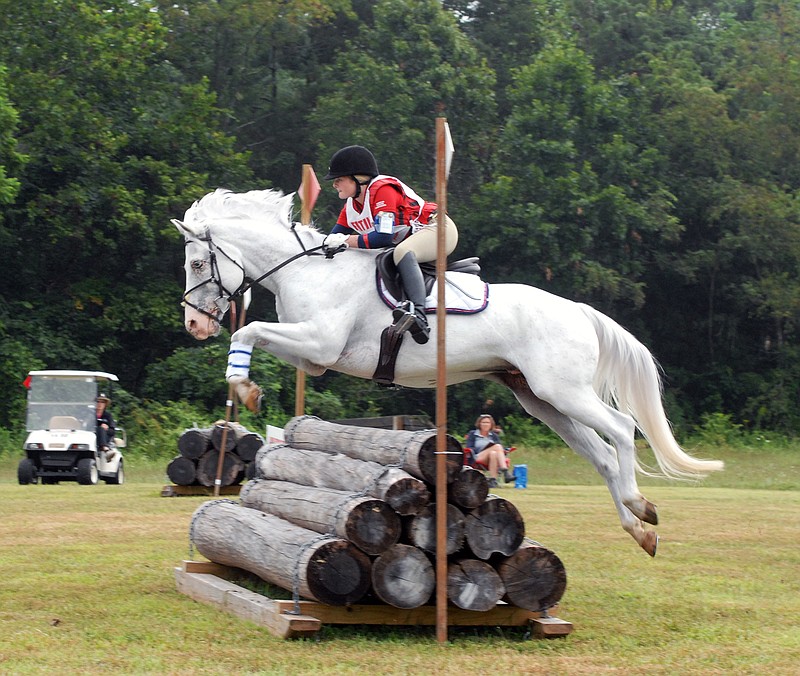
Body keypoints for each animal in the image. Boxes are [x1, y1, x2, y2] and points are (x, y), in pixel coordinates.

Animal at [175, 189, 724, 556]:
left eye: (199, 263)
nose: (195, 324)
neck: (306, 269)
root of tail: (578, 311)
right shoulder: (313, 357)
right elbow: (254, 335)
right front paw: (246, 388)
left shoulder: (319, 341)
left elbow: (248, 331)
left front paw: (244, 388)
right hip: (540, 400)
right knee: (603, 456)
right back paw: (640, 530)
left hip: (563, 390)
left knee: (622, 430)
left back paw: (640, 506)